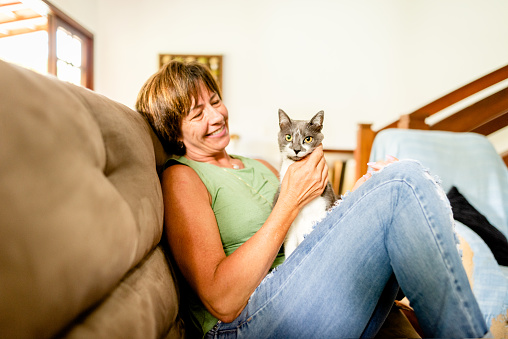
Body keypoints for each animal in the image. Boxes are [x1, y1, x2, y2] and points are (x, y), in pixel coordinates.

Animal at [274, 110, 338, 258]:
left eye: (308, 139)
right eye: (288, 137)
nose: (297, 149)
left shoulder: (324, 203)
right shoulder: (291, 227)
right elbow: (290, 244)